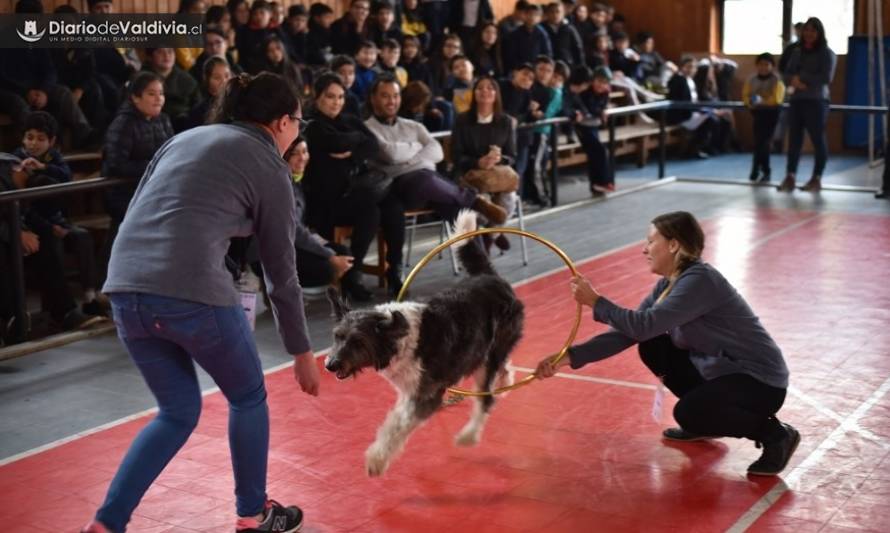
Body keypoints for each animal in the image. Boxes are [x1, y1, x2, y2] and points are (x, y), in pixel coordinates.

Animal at [324, 210, 520, 476]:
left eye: (358, 341)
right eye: (338, 336)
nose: (330, 365)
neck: (397, 338)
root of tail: (489, 277)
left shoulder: (426, 395)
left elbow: (396, 426)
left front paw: (377, 459)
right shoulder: (410, 392)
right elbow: (396, 419)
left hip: (491, 354)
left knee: (486, 398)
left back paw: (469, 436)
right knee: (501, 366)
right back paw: (505, 379)